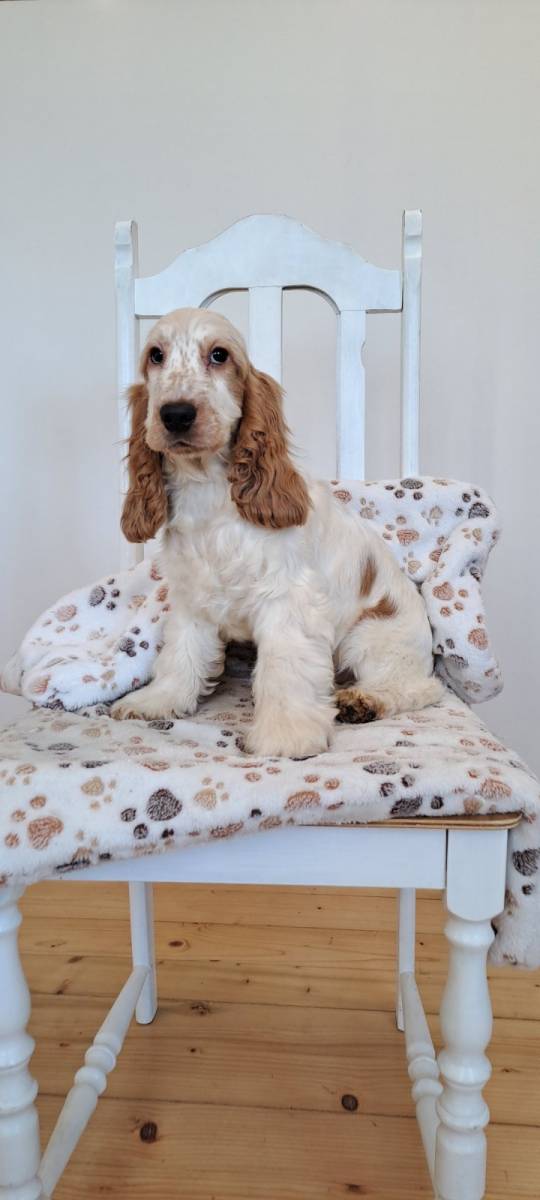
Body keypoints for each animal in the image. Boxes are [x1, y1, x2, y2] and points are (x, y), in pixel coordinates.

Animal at [111, 308, 443, 757]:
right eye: (156, 356)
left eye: (219, 354)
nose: (176, 414)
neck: (207, 489)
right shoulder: (192, 599)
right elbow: (181, 654)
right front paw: (157, 700)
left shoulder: (288, 600)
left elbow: (284, 671)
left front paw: (286, 735)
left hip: (373, 637)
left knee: (419, 687)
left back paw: (363, 701)